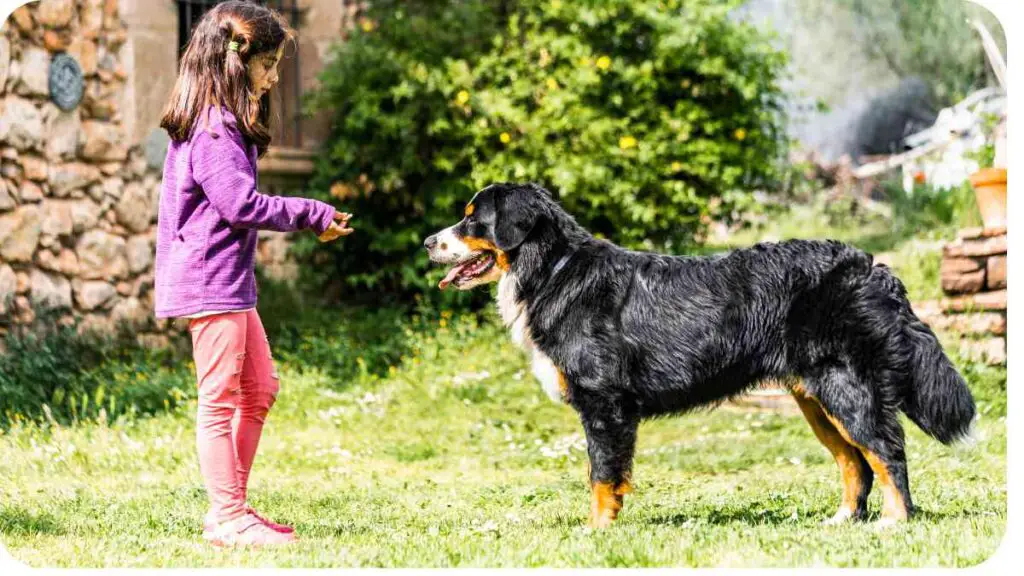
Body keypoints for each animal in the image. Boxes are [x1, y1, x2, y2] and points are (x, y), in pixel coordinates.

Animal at [423, 181, 974, 528]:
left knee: (887, 451)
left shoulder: (604, 404)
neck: (553, 271)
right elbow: (607, 476)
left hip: (846, 387)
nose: (429, 241)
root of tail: (868, 265)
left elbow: (601, 475)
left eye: (473, 220)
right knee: (854, 462)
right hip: (816, 398)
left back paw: (895, 521)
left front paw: (595, 530)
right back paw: (843, 520)